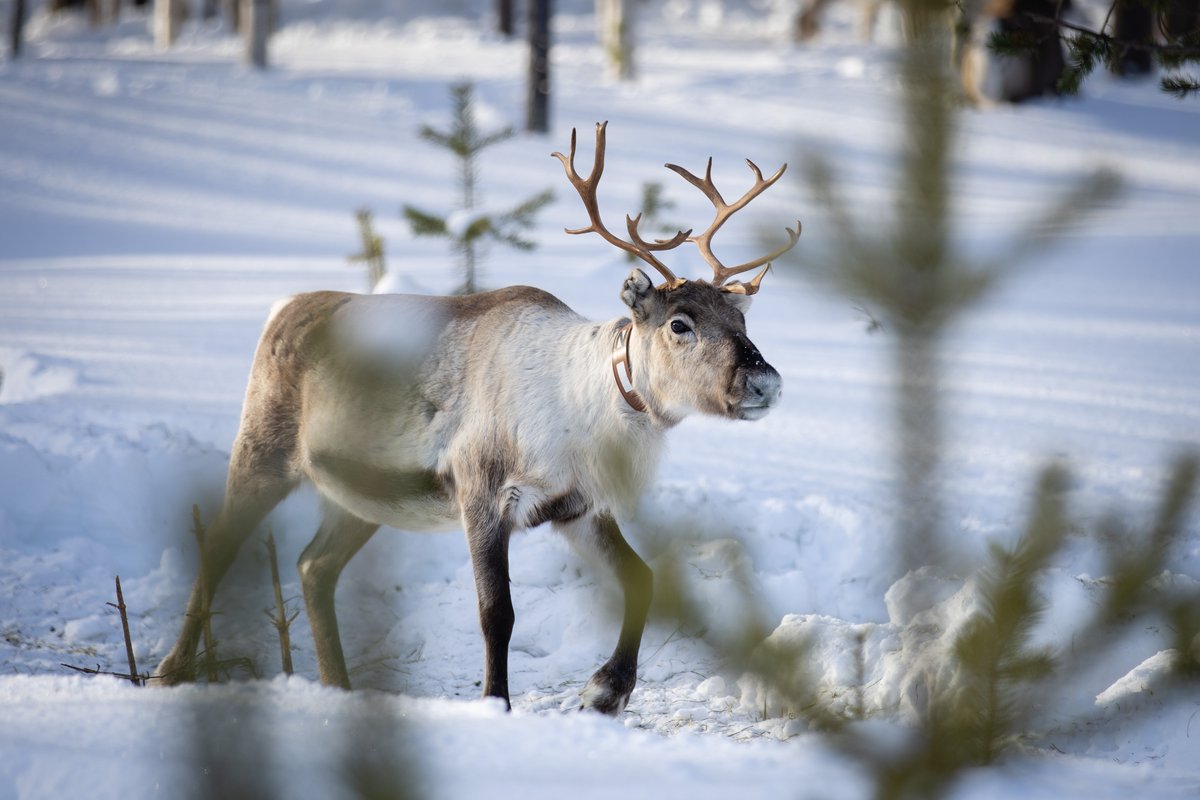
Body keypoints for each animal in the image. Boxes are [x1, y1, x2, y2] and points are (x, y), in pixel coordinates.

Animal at [156, 122, 800, 715]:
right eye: (679, 323)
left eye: (741, 322)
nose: (765, 382)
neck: (583, 407)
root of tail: (282, 308)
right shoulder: (481, 489)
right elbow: (497, 611)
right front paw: (497, 703)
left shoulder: (578, 507)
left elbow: (641, 578)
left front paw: (605, 690)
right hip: (263, 447)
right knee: (218, 547)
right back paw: (170, 672)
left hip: (359, 496)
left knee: (314, 566)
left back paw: (340, 688)